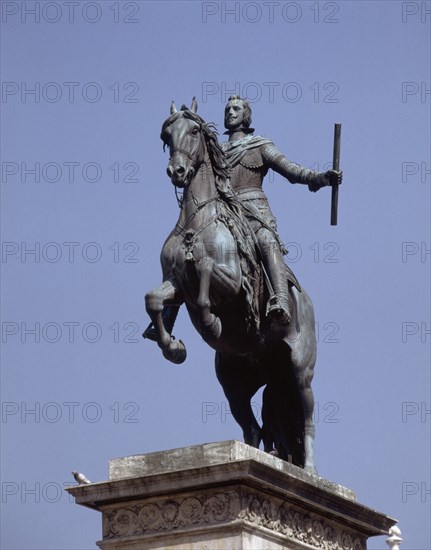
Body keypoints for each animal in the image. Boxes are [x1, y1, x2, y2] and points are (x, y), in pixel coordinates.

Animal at [147, 98, 318, 474]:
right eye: (167, 134)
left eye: (194, 131)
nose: (177, 171)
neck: (197, 219)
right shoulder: (173, 283)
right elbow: (154, 300)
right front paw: (172, 347)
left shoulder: (236, 283)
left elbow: (206, 273)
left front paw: (211, 322)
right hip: (237, 383)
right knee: (252, 429)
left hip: (299, 373)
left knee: (307, 420)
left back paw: (312, 470)